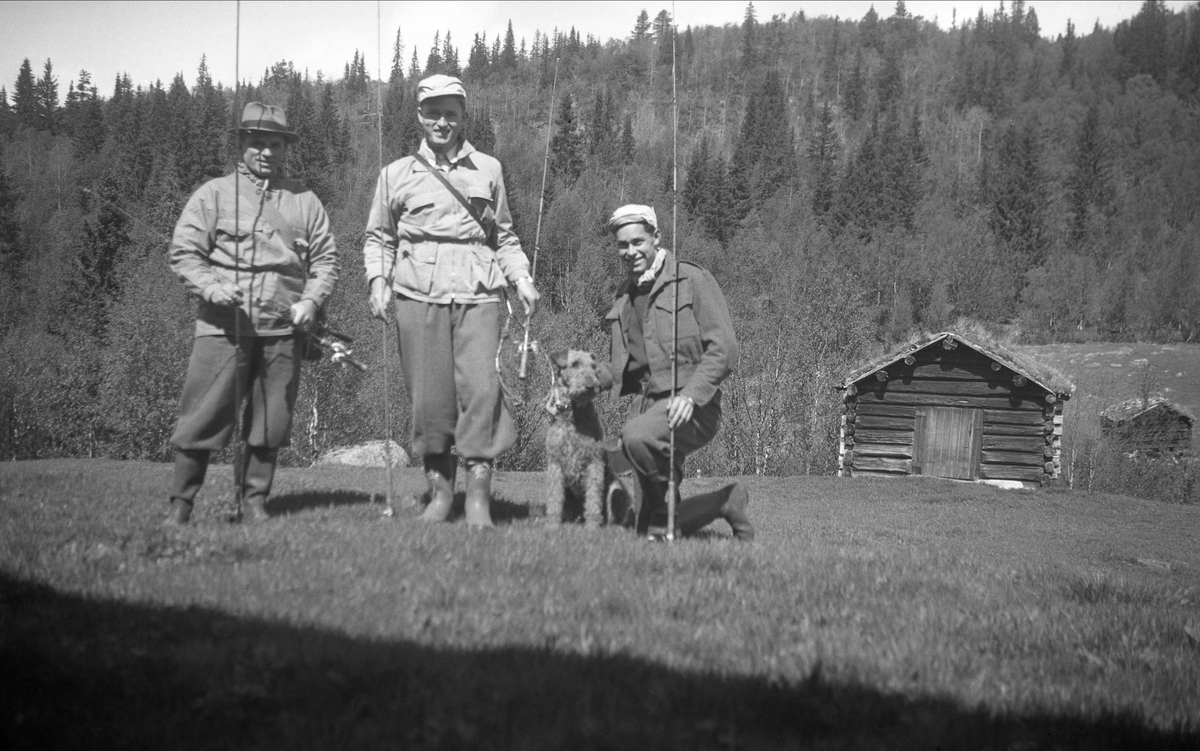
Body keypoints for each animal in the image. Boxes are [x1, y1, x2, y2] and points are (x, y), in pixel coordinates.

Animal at [547, 345, 619, 525]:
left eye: (593, 367)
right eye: (574, 364)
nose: (591, 386)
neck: (573, 413)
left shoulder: (594, 461)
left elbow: (593, 499)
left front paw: (592, 526)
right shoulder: (555, 463)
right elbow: (554, 497)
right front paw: (551, 524)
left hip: (616, 490)